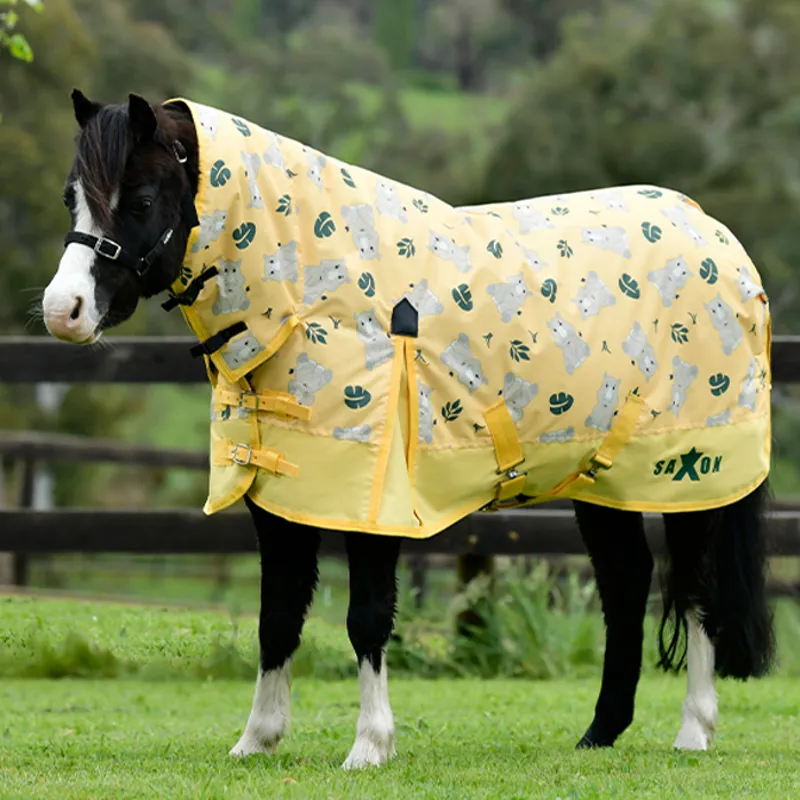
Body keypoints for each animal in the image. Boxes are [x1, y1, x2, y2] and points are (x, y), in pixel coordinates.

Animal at [40, 90, 775, 768]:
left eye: (139, 201)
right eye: (73, 197)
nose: (62, 310)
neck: (317, 295)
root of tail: (715, 236)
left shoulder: (376, 504)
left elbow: (366, 616)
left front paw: (369, 746)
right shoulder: (280, 499)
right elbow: (277, 615)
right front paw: (257, 740)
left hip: (690, 480)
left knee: (696, 588)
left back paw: (693, 731)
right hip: (600, 481)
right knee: (627, 584)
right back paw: (600, 734)